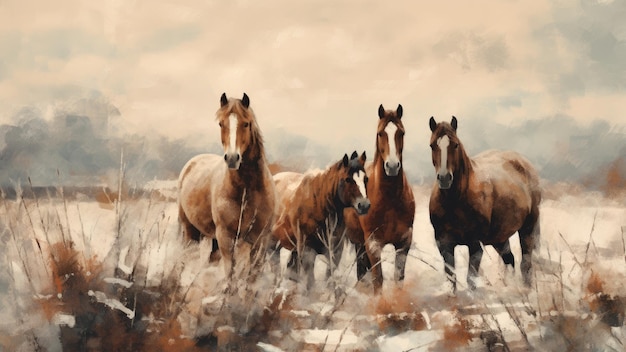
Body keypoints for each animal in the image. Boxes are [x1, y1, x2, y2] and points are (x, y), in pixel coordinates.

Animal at [176, 92, 272, 280]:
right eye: (221, 123)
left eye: (246, 123)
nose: (232, 158)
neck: (247, 190)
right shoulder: (225, 237)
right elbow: (230, 274)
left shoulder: (260, 240)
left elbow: (251, 278)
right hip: (190, 231)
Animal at [270, 151, 368, 288]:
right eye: (348, 179)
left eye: (366, 179)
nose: (364, 205)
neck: (318, 204)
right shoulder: (307, 250)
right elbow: (309, 279)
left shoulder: (334, 250)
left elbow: (329, 275)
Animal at [342, 105, 414, 294]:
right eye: (380, 133)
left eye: (401, 132)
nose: (392, 166)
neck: (390, 199)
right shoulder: (373, 245)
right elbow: (378, 280)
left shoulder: (404, 243)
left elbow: (398, 278)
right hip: (359, 243)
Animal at [426, 116, 540, 292]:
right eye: (432, 145)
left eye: (455, 144)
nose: (444, 178)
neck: (455, 201)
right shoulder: (444, 245)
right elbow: (451, 279)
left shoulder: (475, 246)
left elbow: (471, 280)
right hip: (499, 238)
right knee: (510, 260)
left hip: (527, 229)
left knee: (525, 263)